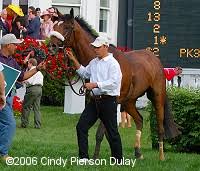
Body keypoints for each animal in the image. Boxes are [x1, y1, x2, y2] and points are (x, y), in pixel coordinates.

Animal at [50, 8, 181, 160]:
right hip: (129, 101)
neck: (99, 57)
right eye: (55, 26)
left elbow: (101, 133)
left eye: (67, 27)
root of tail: (156, 60)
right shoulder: (95, 100)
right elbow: (107, 132)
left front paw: (95, 158)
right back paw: (138, 152)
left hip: (157, 96)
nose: (51, 46)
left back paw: (161, 156)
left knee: (160, 125)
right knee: (139, 120)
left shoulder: (110, 102)